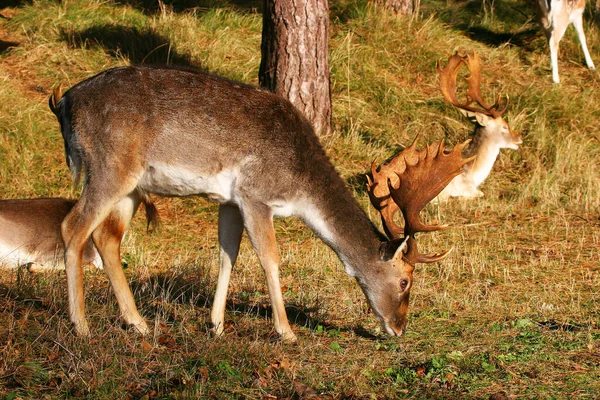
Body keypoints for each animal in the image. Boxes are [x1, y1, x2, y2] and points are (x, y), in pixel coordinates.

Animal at [49, 65, 472, 340]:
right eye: (405, 280)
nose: (400, 328)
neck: (299, 185)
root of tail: (64, 101)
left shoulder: (229, 201)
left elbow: (227, 254)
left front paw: (217, 325)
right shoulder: (255, 194)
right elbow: (269, 257)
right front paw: (286, 331)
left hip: (133, 187)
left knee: (107, 238)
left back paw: (138, 322)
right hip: (110, 165)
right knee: (73, 226)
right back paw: (81, 325)